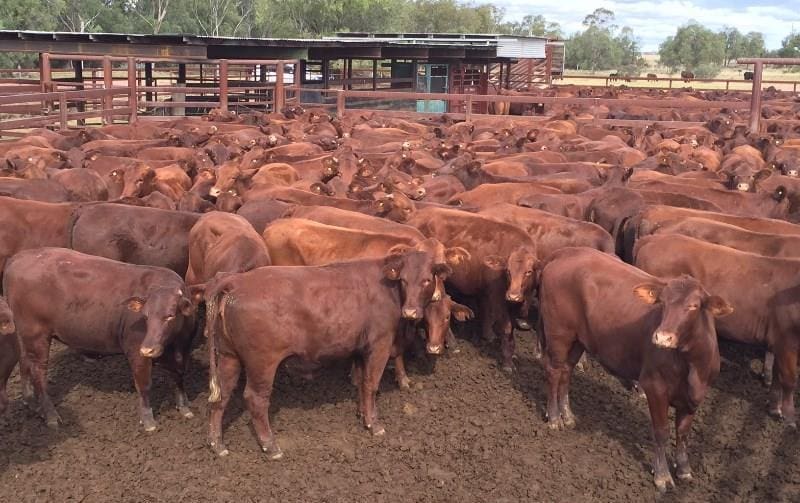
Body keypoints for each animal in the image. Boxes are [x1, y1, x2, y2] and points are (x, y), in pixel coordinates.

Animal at [536, 248, 732, 492]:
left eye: (694, 306)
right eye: (662, 303)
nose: (662, 337)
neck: (691, 366)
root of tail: (567, 252)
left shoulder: (695, 396)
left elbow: (683, 433)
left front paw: (684, 469)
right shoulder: (655, 386)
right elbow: (661, 431)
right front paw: (662, 475)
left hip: (579, 339)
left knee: (566, 371)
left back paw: (568, 415)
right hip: (559, 333)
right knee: (554, 370)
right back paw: (554, 417)